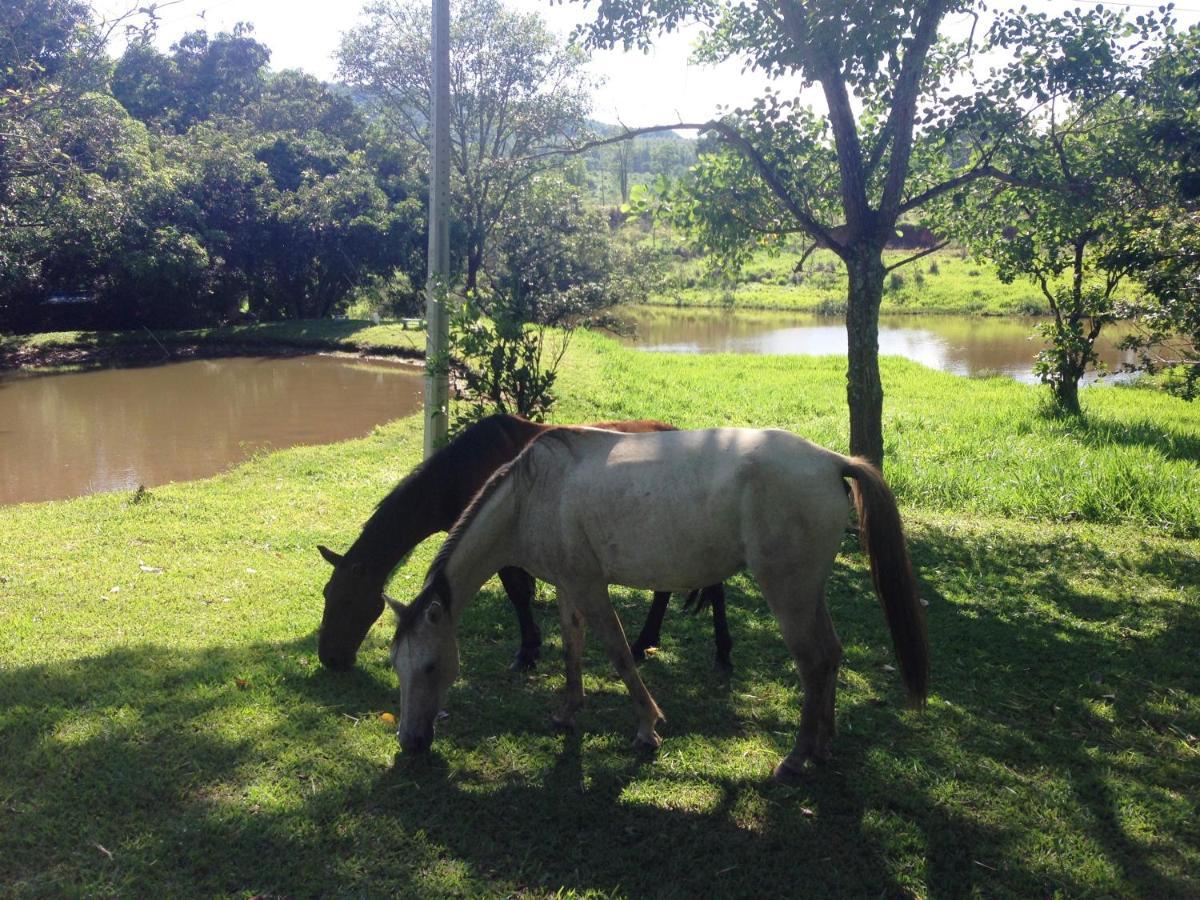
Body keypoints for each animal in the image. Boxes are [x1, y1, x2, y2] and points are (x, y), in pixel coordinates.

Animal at [316, 415, 729, 672]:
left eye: (348, 599)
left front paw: (528, 651)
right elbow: (521, 591)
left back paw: (720, 654)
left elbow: (517, 593)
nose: (329, 658)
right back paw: (645, 643)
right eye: (326, 594)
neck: (459, 473)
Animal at [384, 427, 926, 777]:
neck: (532, 494)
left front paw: (647, 727)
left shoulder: (590, 587)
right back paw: (823, 746)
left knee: (813, 663)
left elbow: (619, 654)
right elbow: (572, 648)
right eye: (397, 665)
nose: (409, 742)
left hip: (788, 594)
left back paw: (795, 758)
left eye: (430, 666)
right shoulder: (568, 585)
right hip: (809, 592)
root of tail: (832, 461)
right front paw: (567, 711)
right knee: (831, 654)